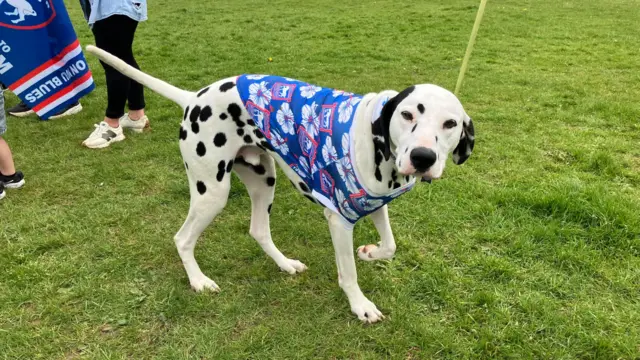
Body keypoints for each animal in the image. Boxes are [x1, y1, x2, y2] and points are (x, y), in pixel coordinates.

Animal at [86, 45, 476, 324]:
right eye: (408, 114)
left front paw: (370, 252)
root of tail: (194, 97)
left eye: (451, 123)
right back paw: (199, 281)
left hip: (264, 180)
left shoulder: (374, 203)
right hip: (212, 192)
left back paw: (285, 264)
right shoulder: (340, 220)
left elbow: (390, 246)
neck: (376, 140)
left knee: (258, 229)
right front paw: (360, 305)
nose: (423, 157)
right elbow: (348, 273)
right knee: (182, 239)